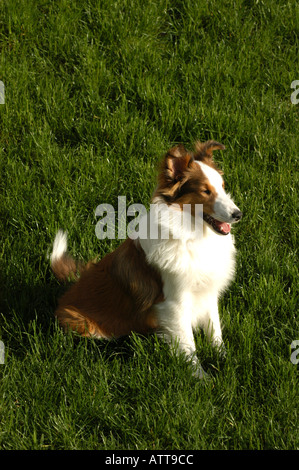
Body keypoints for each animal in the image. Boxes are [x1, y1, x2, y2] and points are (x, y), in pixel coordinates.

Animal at [51, 140, 243, 378]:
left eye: (223, 186)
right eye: (205, 191)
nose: (238, 214)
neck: (192, 236)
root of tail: (67, 294)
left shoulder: (208, 292)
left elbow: (215, 331)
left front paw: (225, 360)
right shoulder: (174, 302)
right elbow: (188, 344)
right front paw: (201, 378)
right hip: (81, 322)